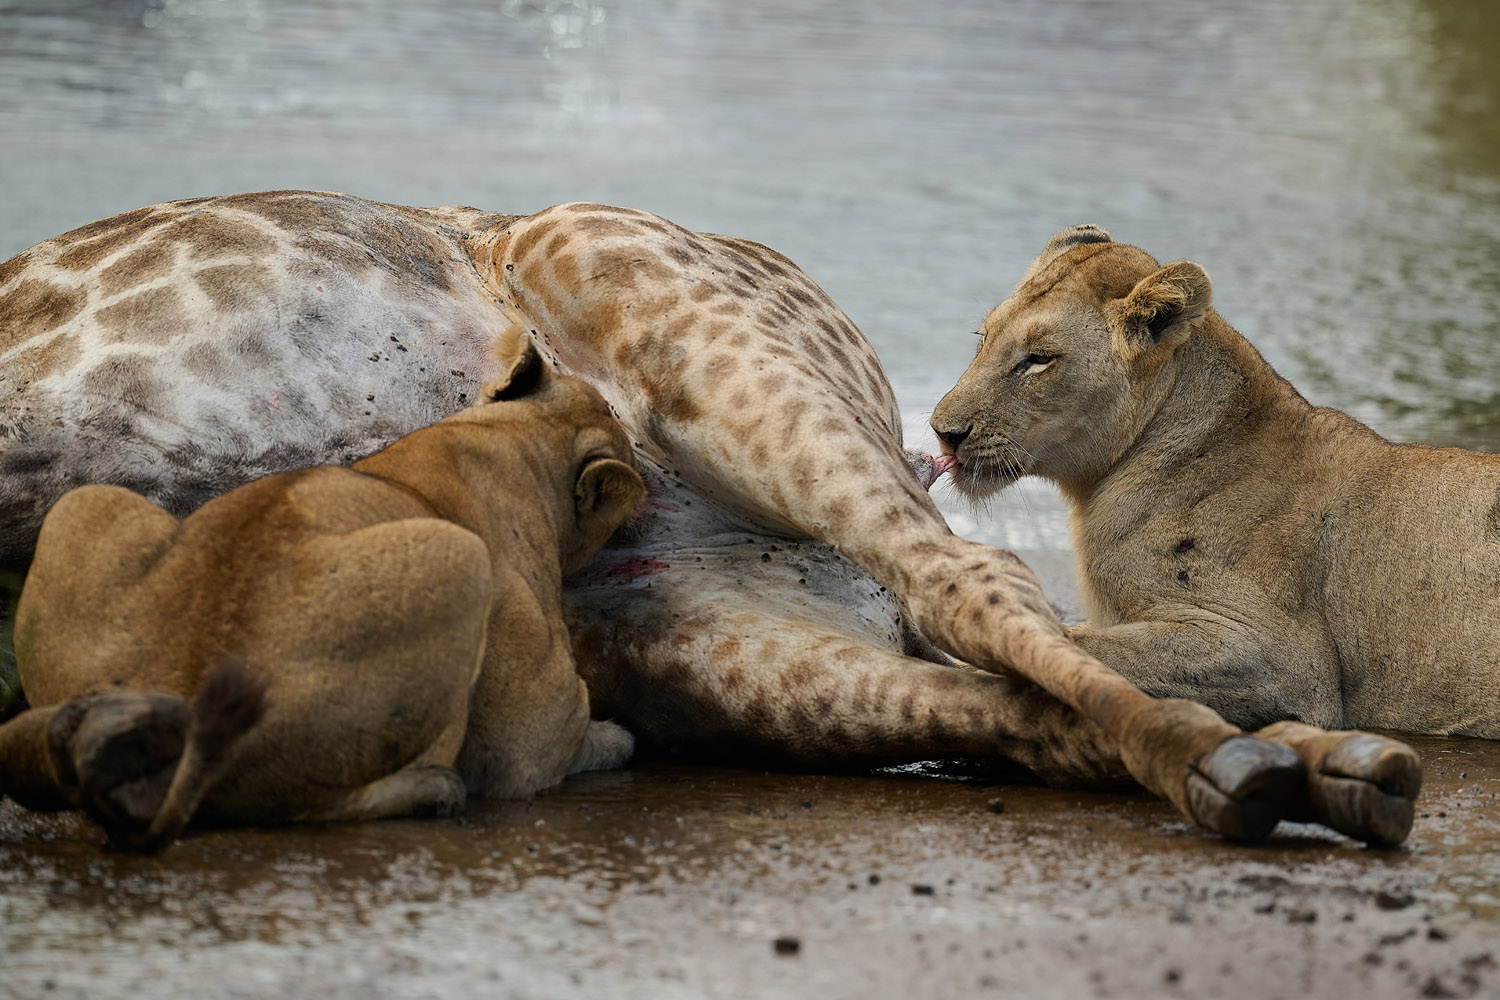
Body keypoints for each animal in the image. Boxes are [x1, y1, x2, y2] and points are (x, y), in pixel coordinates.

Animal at [0, 330, 643, 849]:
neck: (514, 435)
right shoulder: (526, 735)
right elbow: (570, 738)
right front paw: (615, 738)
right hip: (458, 559)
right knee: (291, 803)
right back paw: (432, 789)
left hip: (83, 503)